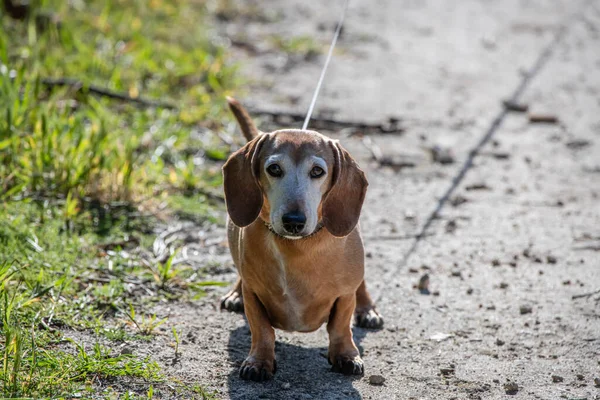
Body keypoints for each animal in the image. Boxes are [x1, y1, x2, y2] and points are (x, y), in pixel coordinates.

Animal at [220, 97, 384, 382]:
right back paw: (235, 293)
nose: (294, 221)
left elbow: (340, 326)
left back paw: (367, 309)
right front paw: (259, 361)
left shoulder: (344, 295)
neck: (296, 248)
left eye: (317, 171)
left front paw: (346, 355)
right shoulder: (254, 295)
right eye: (274, 168)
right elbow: (262, 329)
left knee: (360, 286)